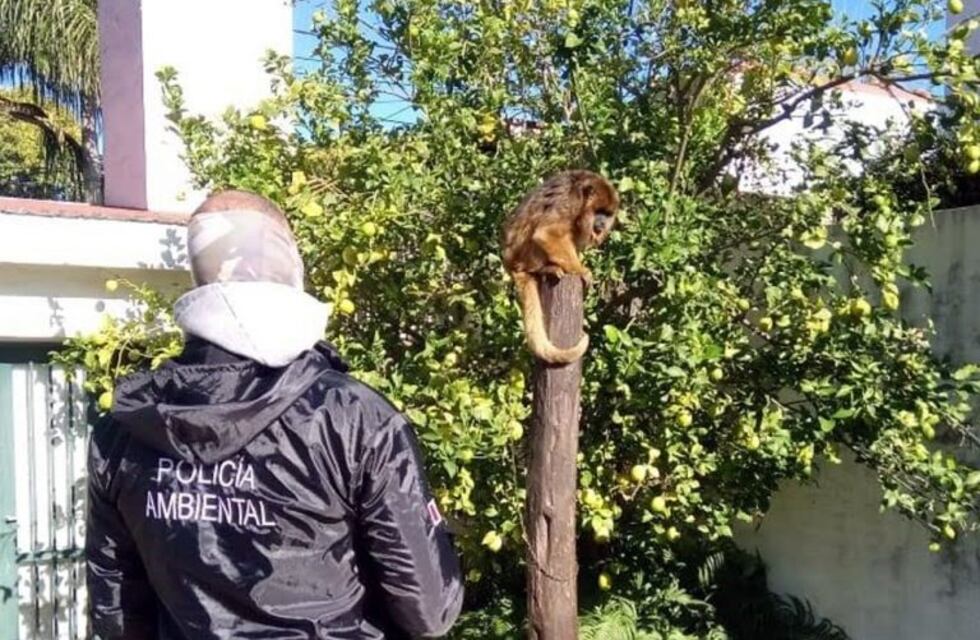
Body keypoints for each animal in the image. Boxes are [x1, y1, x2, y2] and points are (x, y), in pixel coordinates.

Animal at [502, 170, 619, 364]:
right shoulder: (570, 201)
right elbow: (547, 234)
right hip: (524, 257)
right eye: (599, 212)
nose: (602, 223)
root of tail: (510, 265)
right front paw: (582, 271)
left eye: (608, 214)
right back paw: (545, 269)